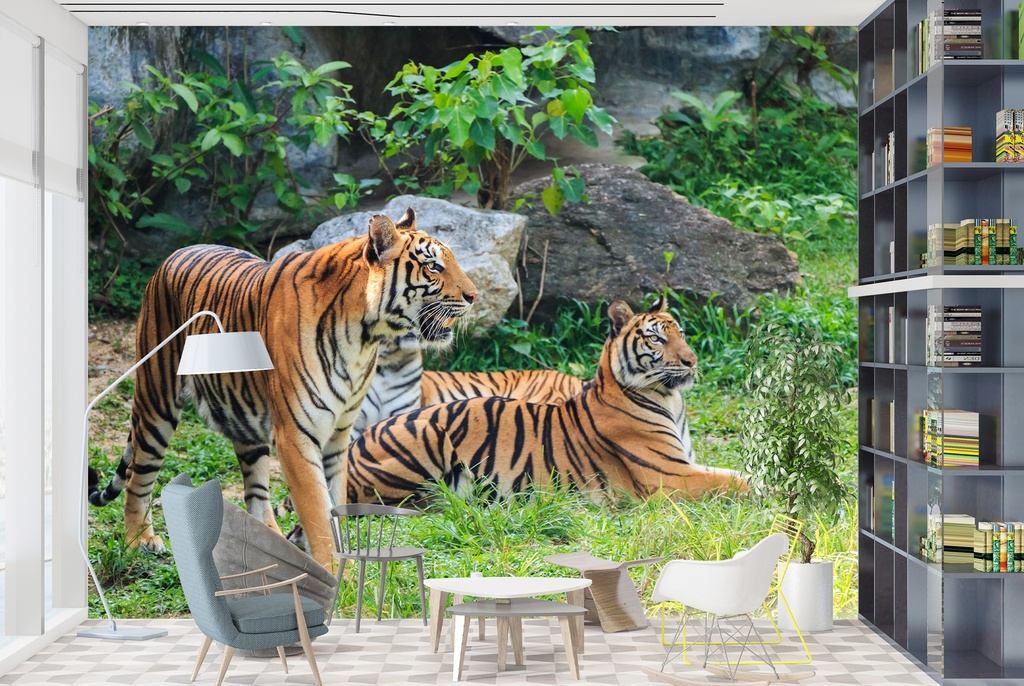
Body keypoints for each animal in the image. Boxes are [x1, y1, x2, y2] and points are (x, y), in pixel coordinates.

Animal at [88, 207, 477, 566]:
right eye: (434, 267)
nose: (474, 296)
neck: (365, 336)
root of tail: (172, 256)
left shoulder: (339, 435)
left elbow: (336, 506)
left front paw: (347, 571)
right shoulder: (297, 434)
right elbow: (319, 513)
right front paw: (336, 577)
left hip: (244, 420)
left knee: (256, 494)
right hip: (157, 398)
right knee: (139, 476)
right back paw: (138, 541)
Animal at [345, 298, 747, 504]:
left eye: (682, 333)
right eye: (657, 339)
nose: (692, 361)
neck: (670, 399)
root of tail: (356, 444)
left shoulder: (688, 464)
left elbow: (735, 474)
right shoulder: (670, 476)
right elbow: (738, 482)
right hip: (427, 435)